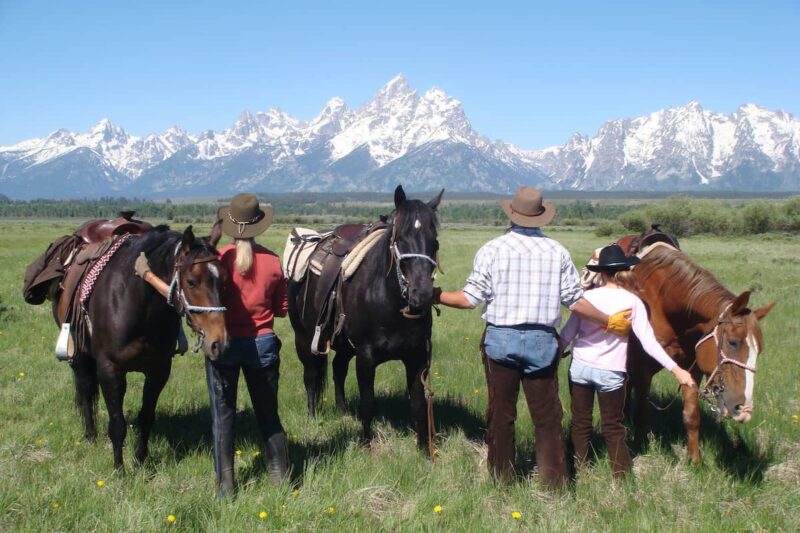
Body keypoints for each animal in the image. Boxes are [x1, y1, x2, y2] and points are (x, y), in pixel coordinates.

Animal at [60, 227, 225, 468]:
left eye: (224, 278)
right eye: (191, 281)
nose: (218, 342)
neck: (138, 303)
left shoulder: (159, 370)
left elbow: (146, 417)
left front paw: (141, 462)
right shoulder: (110, 368)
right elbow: (117, 424)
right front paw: (119, 469)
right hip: (81, 355)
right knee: (85, 391)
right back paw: (91, 437)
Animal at [288, 187, 444, 448]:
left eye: (435, 241)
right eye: (400, 239)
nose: (421, 295)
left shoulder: (418, 357)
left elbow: (419, 405)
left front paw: (424, 450)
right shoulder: (366, 357)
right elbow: (368, 403)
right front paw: (366, 446)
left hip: (343, 345)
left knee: (338, 369)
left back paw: (342, 411)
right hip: (304, 337)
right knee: (310, 376)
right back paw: (312, 415)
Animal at [608, 242, 776, 462]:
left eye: (760, 350)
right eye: (732, 342)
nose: (744, 409)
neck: (663, 303)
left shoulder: (690, 370)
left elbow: (692, 415)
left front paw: (694, 459)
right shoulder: (642, 369)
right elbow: (642, 413)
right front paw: (640, 447)